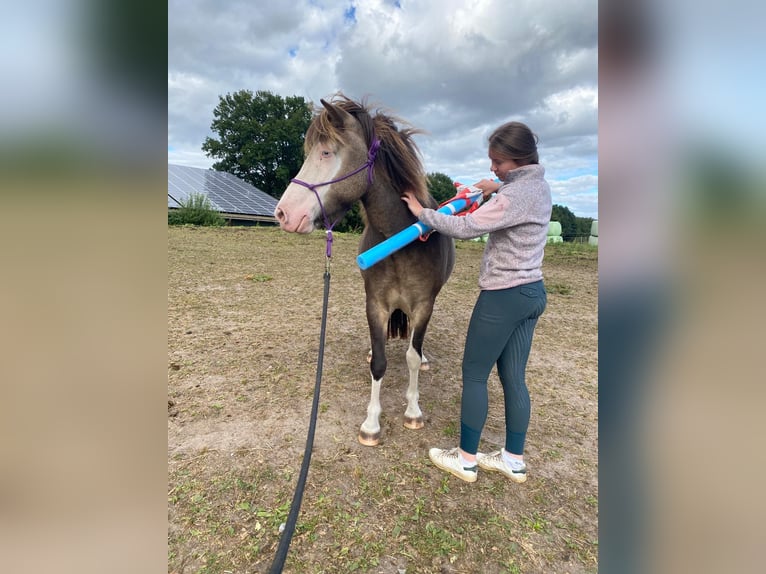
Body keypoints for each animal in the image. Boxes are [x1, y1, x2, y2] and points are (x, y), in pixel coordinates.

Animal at [274, 94, 456, 446]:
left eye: (327, 152)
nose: (283, 214)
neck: (399, 238)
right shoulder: (375, 304)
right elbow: (381, 363)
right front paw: (371, 423)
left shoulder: (424, 304)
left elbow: (412, 357)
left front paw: (413, 411)